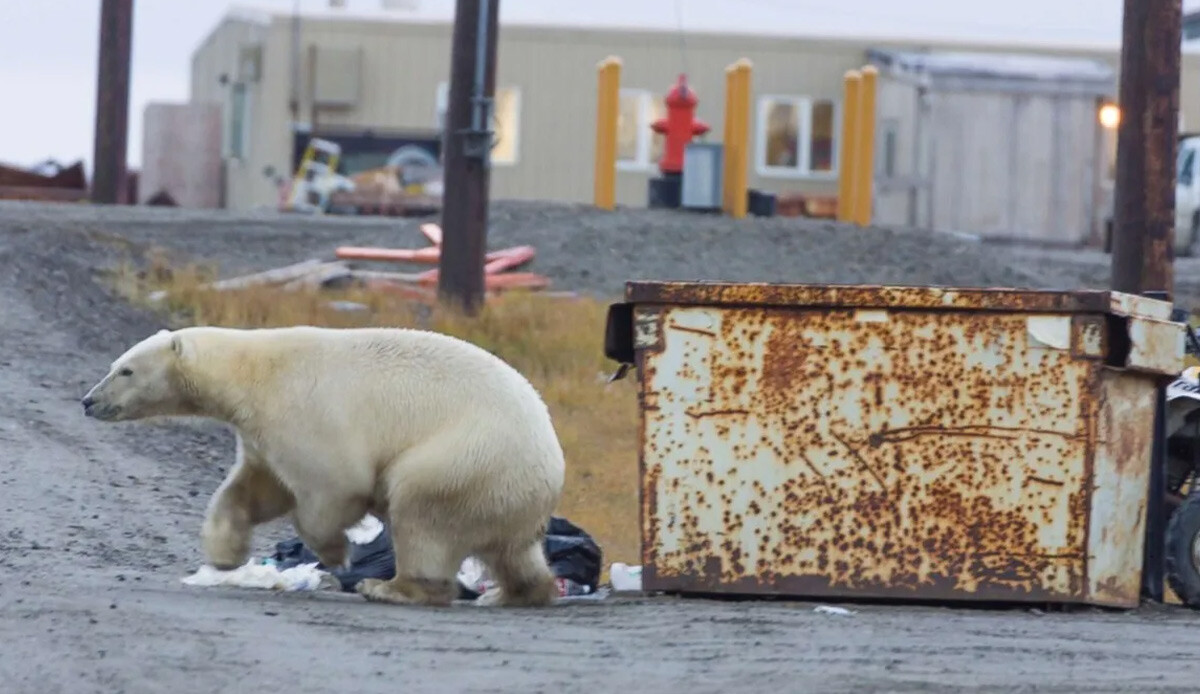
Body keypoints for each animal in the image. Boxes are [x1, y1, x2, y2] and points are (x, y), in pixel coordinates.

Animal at [82, 324, 568, 605]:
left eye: (125, 370)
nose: (88, 401)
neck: (252, 371)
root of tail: (550, 463)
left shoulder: (304, 411)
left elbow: (331, 486)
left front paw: (338, 553)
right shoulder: (261, 434)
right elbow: (254, 489)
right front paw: (225, 555)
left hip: (462, 459)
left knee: (422, 516)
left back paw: (392, 588)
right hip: (501, 490)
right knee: (513, 551)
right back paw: (514, 594)